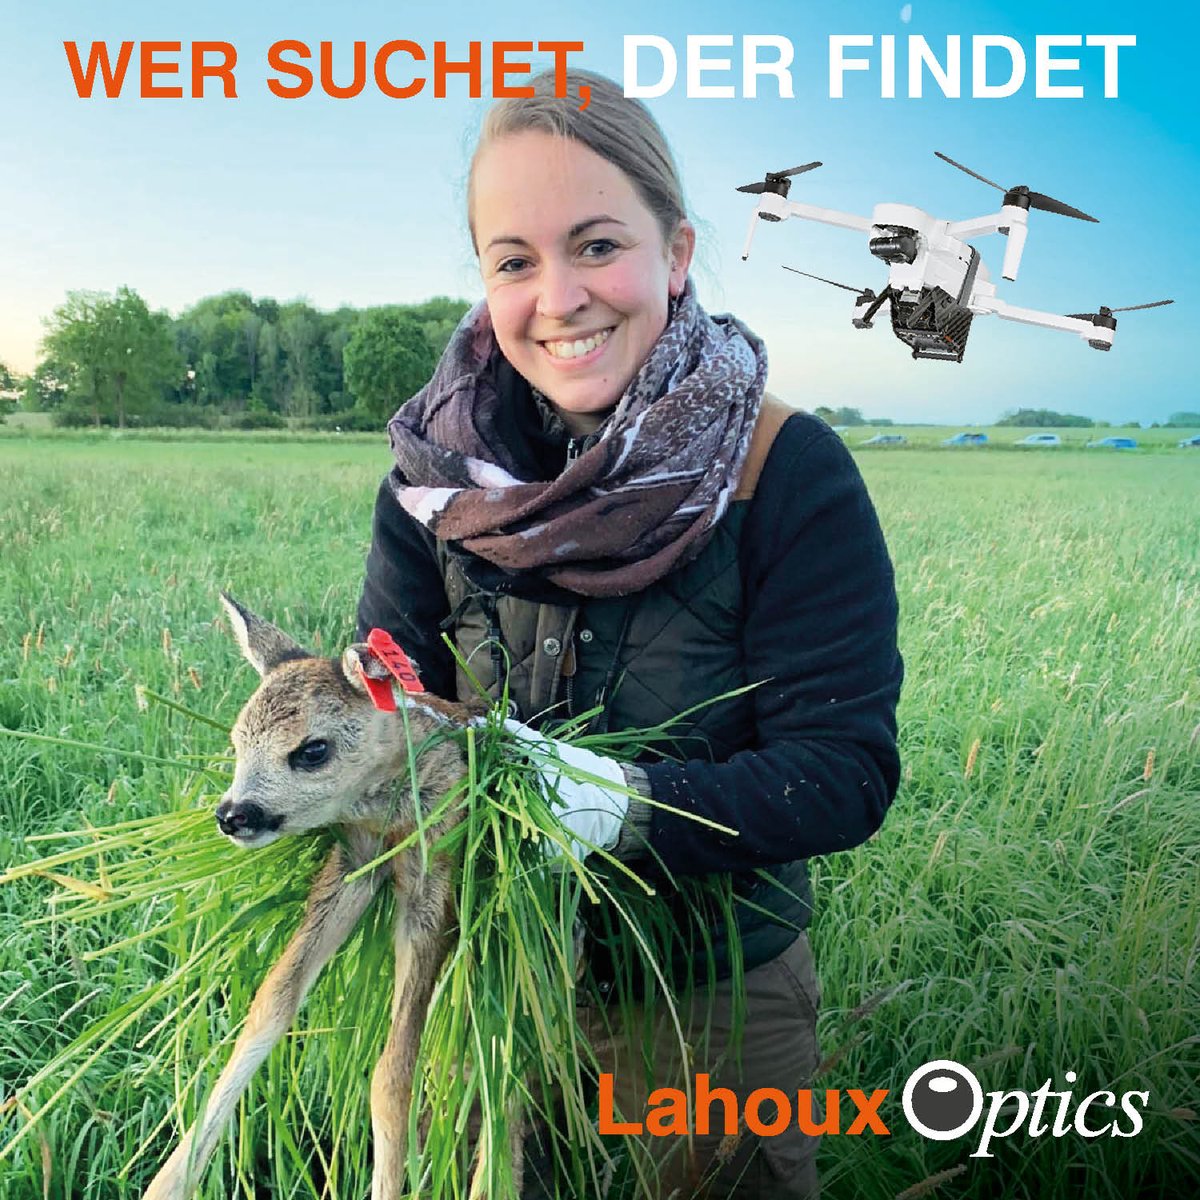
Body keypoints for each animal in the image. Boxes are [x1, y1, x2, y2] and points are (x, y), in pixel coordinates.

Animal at [143, 594, 519, 1200]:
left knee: (514, 1056)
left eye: (312, 750)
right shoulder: (351, 862)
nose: (232, 815)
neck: (385, 810)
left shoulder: (434, 867)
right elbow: (269, 1004)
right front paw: (171, 1180)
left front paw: (387, 1185)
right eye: (236, 742)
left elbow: (393, 1075)